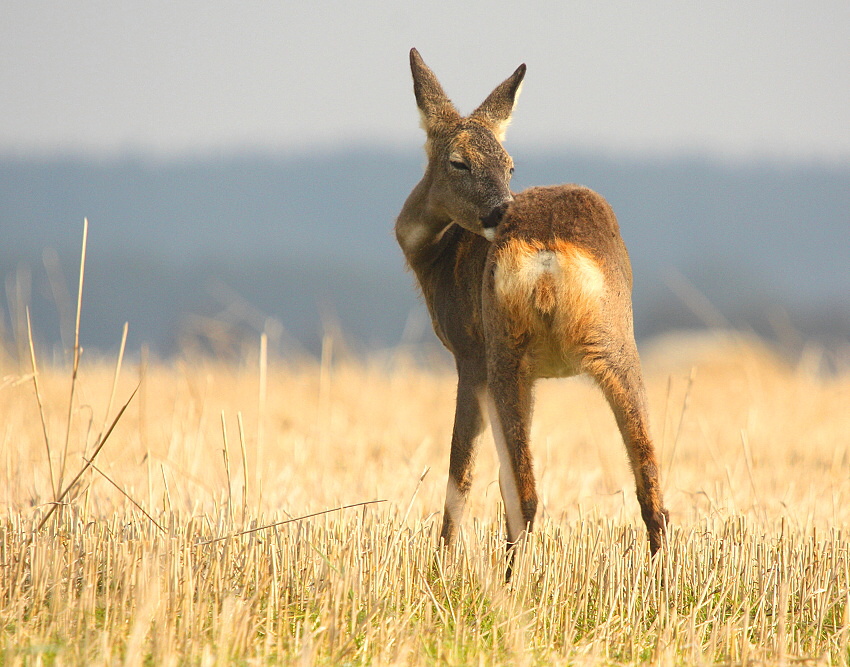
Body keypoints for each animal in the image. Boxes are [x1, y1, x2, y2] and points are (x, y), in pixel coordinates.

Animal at [396, 48, 669, 568]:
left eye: (508, 165)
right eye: (459, 162)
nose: (501, 209)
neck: (436, 255)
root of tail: (549, 252)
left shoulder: (468, 355)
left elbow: (461, 471)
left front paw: (440, 564)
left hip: (503, 351)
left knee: (522, 493)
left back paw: (507, 577)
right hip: (616, 343)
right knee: (651, 490)